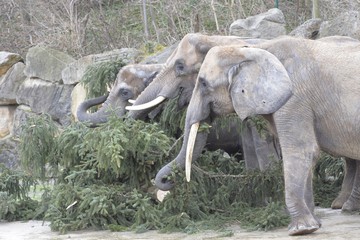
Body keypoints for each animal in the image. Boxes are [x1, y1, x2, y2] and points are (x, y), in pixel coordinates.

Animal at [164, 36, 360, 235]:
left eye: (203, 83)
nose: (166, 182)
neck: (254, 49)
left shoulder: (295, 99)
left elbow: (301, 151)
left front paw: (301, 229)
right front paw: (313, 224)